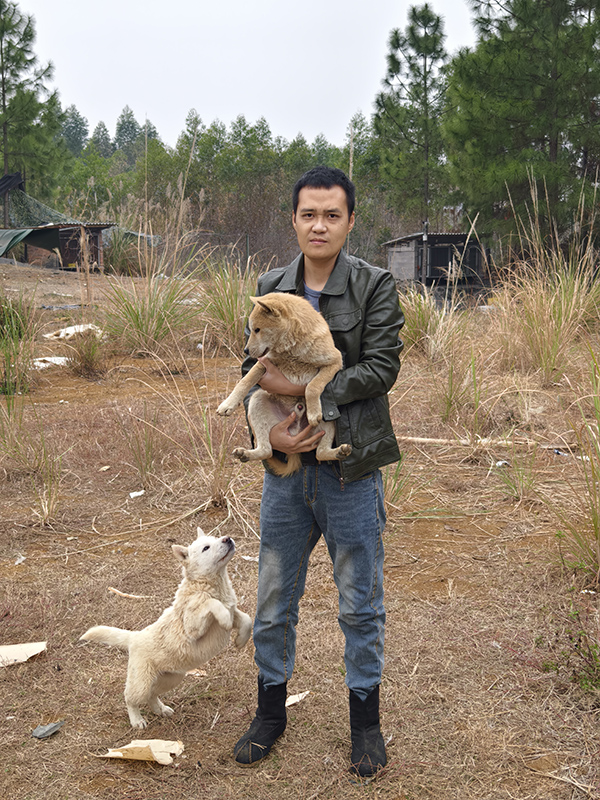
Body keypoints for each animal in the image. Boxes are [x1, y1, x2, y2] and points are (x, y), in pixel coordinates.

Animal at [79, 528, 251, 728]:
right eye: (206, 548)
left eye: (216, 537)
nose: (228, 539)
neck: (211, 584)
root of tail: (134, 637)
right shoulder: (193, 627)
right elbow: (211, 603)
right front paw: (224, 619)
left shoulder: (234, 610)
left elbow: (246, 619)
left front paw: (241, 640)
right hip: (141, 682)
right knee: (130, 698)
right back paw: (137, 721)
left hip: (172, 677)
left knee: (152, 694)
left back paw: (161, 710)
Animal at [217, 296, 352, 478]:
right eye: (251, 330)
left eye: (257, 329)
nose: (245, 350)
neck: (292, 350)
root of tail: (295, 432)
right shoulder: (264, 363)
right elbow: (244, 381)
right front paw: (228, 404)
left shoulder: (334, 361)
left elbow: (312, 386)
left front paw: (313, 412)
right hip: (258, 400)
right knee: (266, 450)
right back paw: (245, 453)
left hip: (330, 420)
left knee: (320, 453)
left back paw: (340, 451)